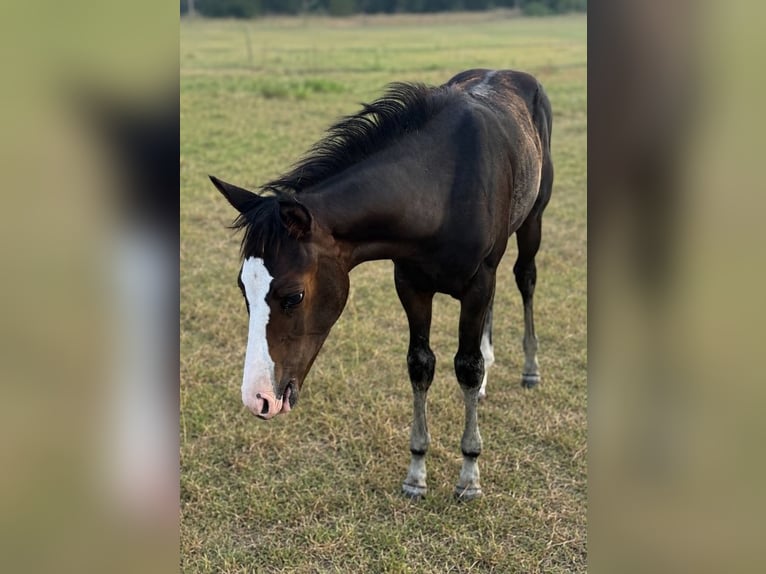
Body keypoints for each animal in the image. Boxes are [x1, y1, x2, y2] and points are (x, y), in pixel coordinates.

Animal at [210, 69, 553, 500]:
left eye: (294, 296)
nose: (258, 399)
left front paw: (469, 476)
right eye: (244, 291)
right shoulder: (410, 285)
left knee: (525, 279)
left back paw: (530, 369)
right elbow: (420, 364)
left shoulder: (476, 284)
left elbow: (467, 366)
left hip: (532, 220)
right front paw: (416, 473)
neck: (440, 186)